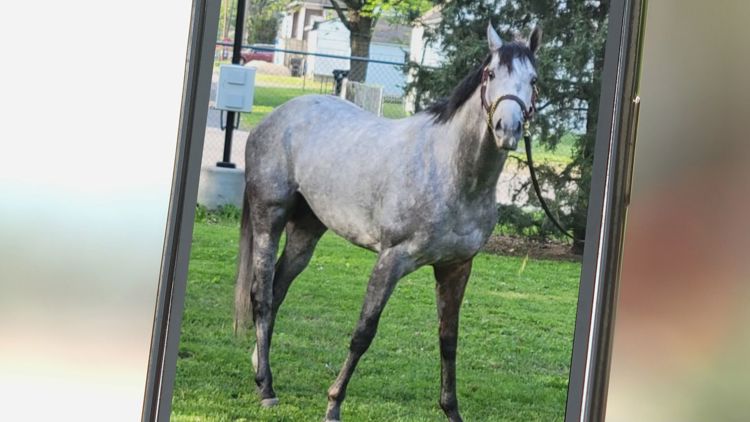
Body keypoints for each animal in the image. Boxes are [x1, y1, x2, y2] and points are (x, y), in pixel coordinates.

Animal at [234, 23, 540, 422]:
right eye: (490, 74)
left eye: (533, 80)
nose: (508, 129)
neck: (451, 172)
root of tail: (271, 120)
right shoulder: (391, 260)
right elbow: (364, 332)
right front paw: (333, 405)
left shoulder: (456, 267)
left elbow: (448, 339)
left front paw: (451, 410)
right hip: (268, 218)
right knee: (262, 295)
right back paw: (267, 388)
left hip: (306, 231)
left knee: (278, 290)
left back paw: (260, 369)